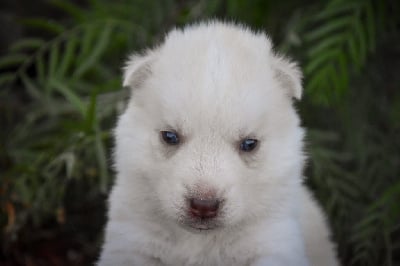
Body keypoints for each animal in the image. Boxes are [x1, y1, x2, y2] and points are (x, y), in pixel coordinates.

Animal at [98, 21, 340, 266]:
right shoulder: (132, 240)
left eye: (249, 143)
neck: (198, 241)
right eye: (170, 137)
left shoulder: (273, 240)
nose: (203, 205)